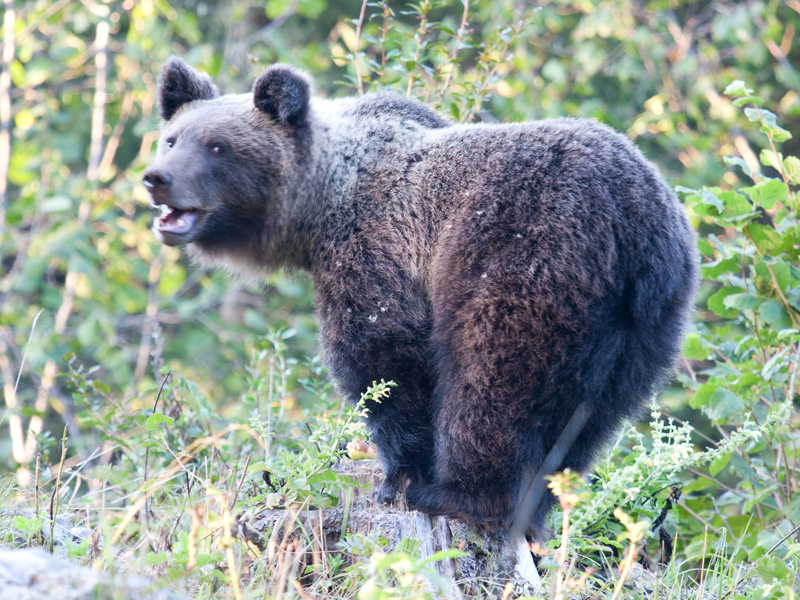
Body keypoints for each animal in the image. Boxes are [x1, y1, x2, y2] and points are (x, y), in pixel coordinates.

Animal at [145, 58, 700, 540]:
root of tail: (633, 222)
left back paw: (460, 495)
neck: (324, 207)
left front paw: (397, 477)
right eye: (172, 138)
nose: (157, 177)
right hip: (644, 325)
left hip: (521, 258)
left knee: (489, 382)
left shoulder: (377, 252)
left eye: (217, 146)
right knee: (589, 418)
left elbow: (383, 361)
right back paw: (536, 511)